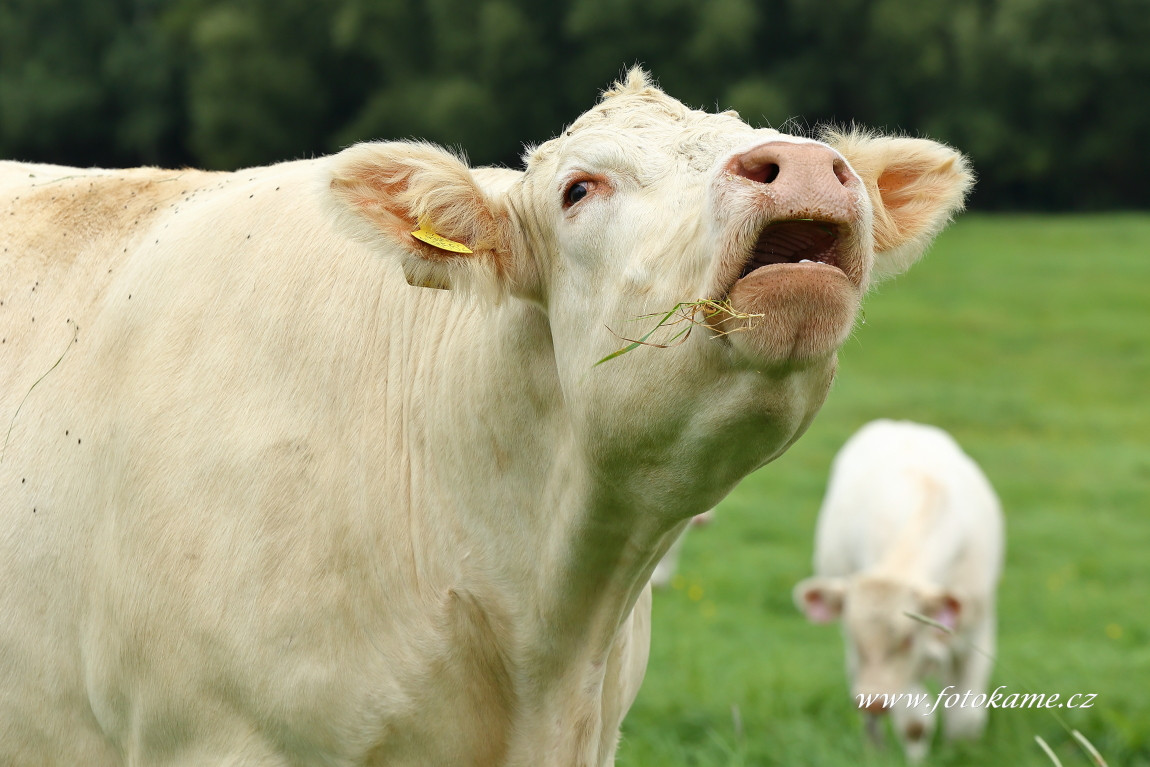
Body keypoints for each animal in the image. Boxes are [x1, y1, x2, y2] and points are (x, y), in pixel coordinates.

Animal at [795, 420, 1002, 763]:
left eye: (906, 639)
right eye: (855, 635)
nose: (873, 701)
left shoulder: (977, 631)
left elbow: (966, 715)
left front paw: (960, 751)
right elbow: (915, 724)